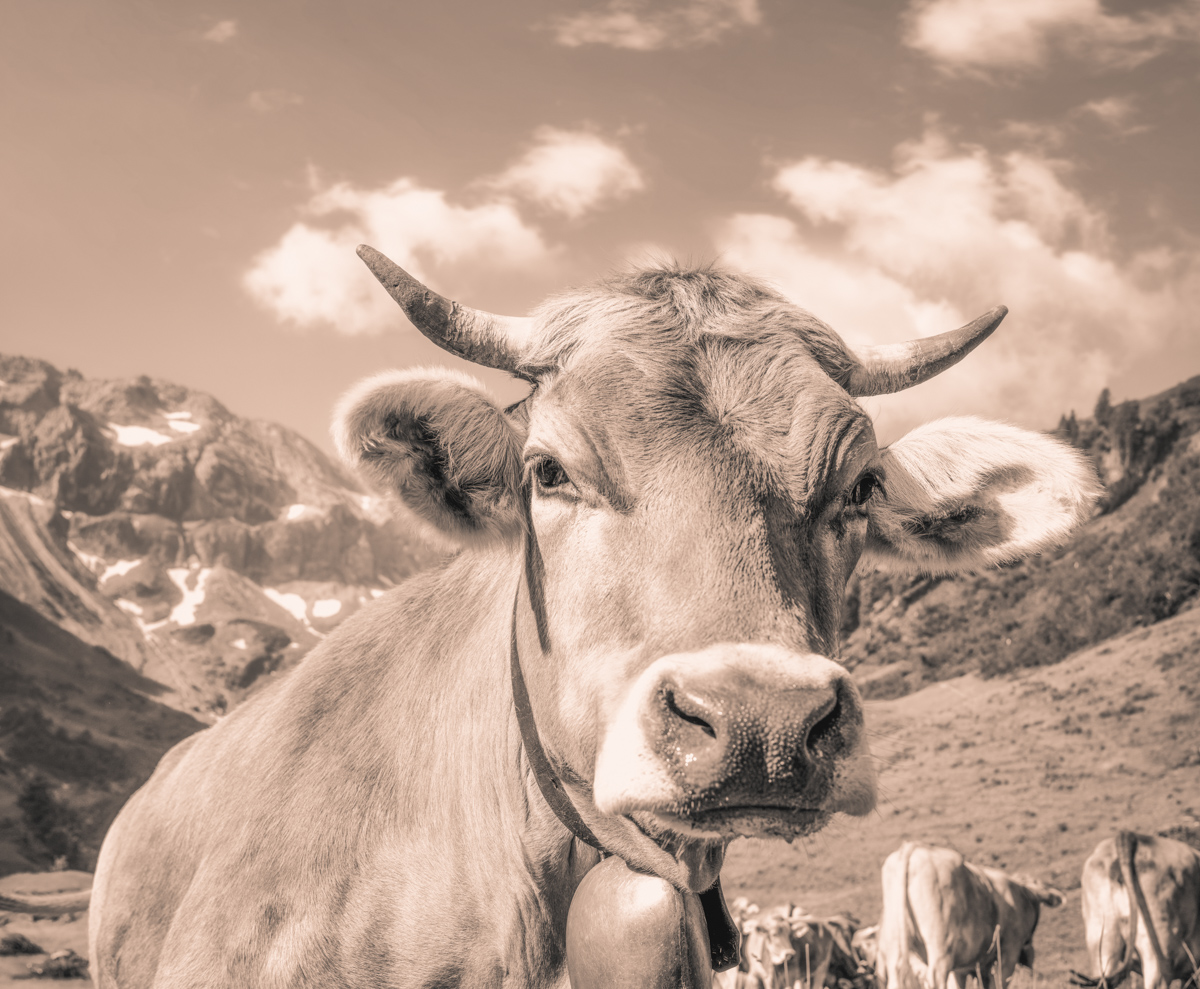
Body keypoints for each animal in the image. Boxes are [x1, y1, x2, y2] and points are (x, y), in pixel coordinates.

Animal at [876, 842, 1063, 989]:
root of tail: (916, 848)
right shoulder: (1009, 952)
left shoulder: (966, 967)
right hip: (940, 944)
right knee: (935, 977)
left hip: (896, 942)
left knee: (897, 976)